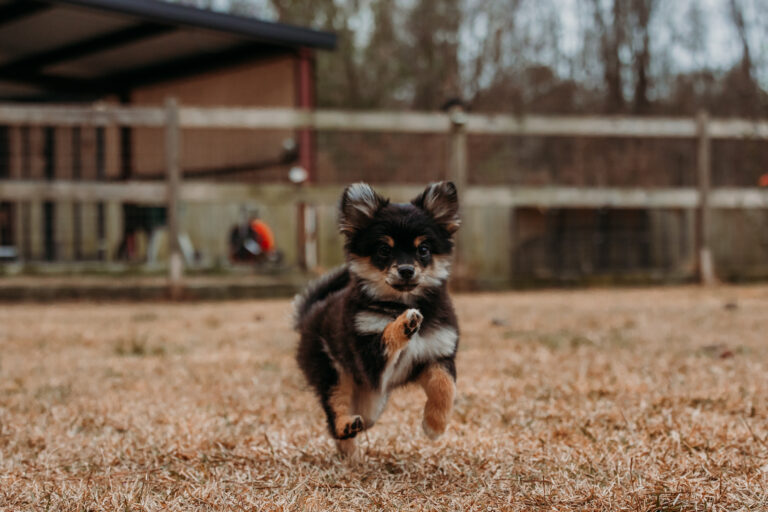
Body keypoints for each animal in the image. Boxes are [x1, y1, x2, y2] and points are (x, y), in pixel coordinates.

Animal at [294, 182, 462, 454]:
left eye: (423, 249)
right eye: (384, 250)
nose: (406, 270)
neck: (399, 302)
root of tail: (310, 313)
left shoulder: (436, 355)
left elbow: (445, 386)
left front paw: (434, 426)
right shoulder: (371, 360)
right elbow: (385, 336)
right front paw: (404, 324)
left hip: (372, 402)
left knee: (358, 418)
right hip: (332, 371)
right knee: (335, 407)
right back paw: (347, 435)